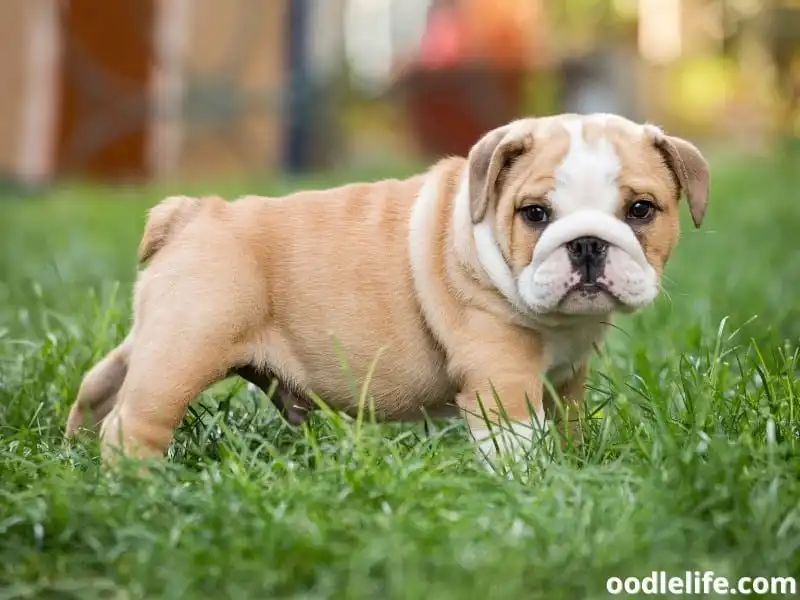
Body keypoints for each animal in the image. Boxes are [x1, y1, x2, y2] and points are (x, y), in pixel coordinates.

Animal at [65, 112, 708, 468]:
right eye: (535, 214)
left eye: (641, 210)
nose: (588, 244)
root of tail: (191, 212)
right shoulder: (502, 377)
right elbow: (518, 442)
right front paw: (532, 489)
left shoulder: (567, 377)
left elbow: (568, 424)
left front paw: (574, 467)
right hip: (187, 345)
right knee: (137, 421)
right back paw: (138, 489)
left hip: (159, 334)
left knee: (103, 383)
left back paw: (75, 451)